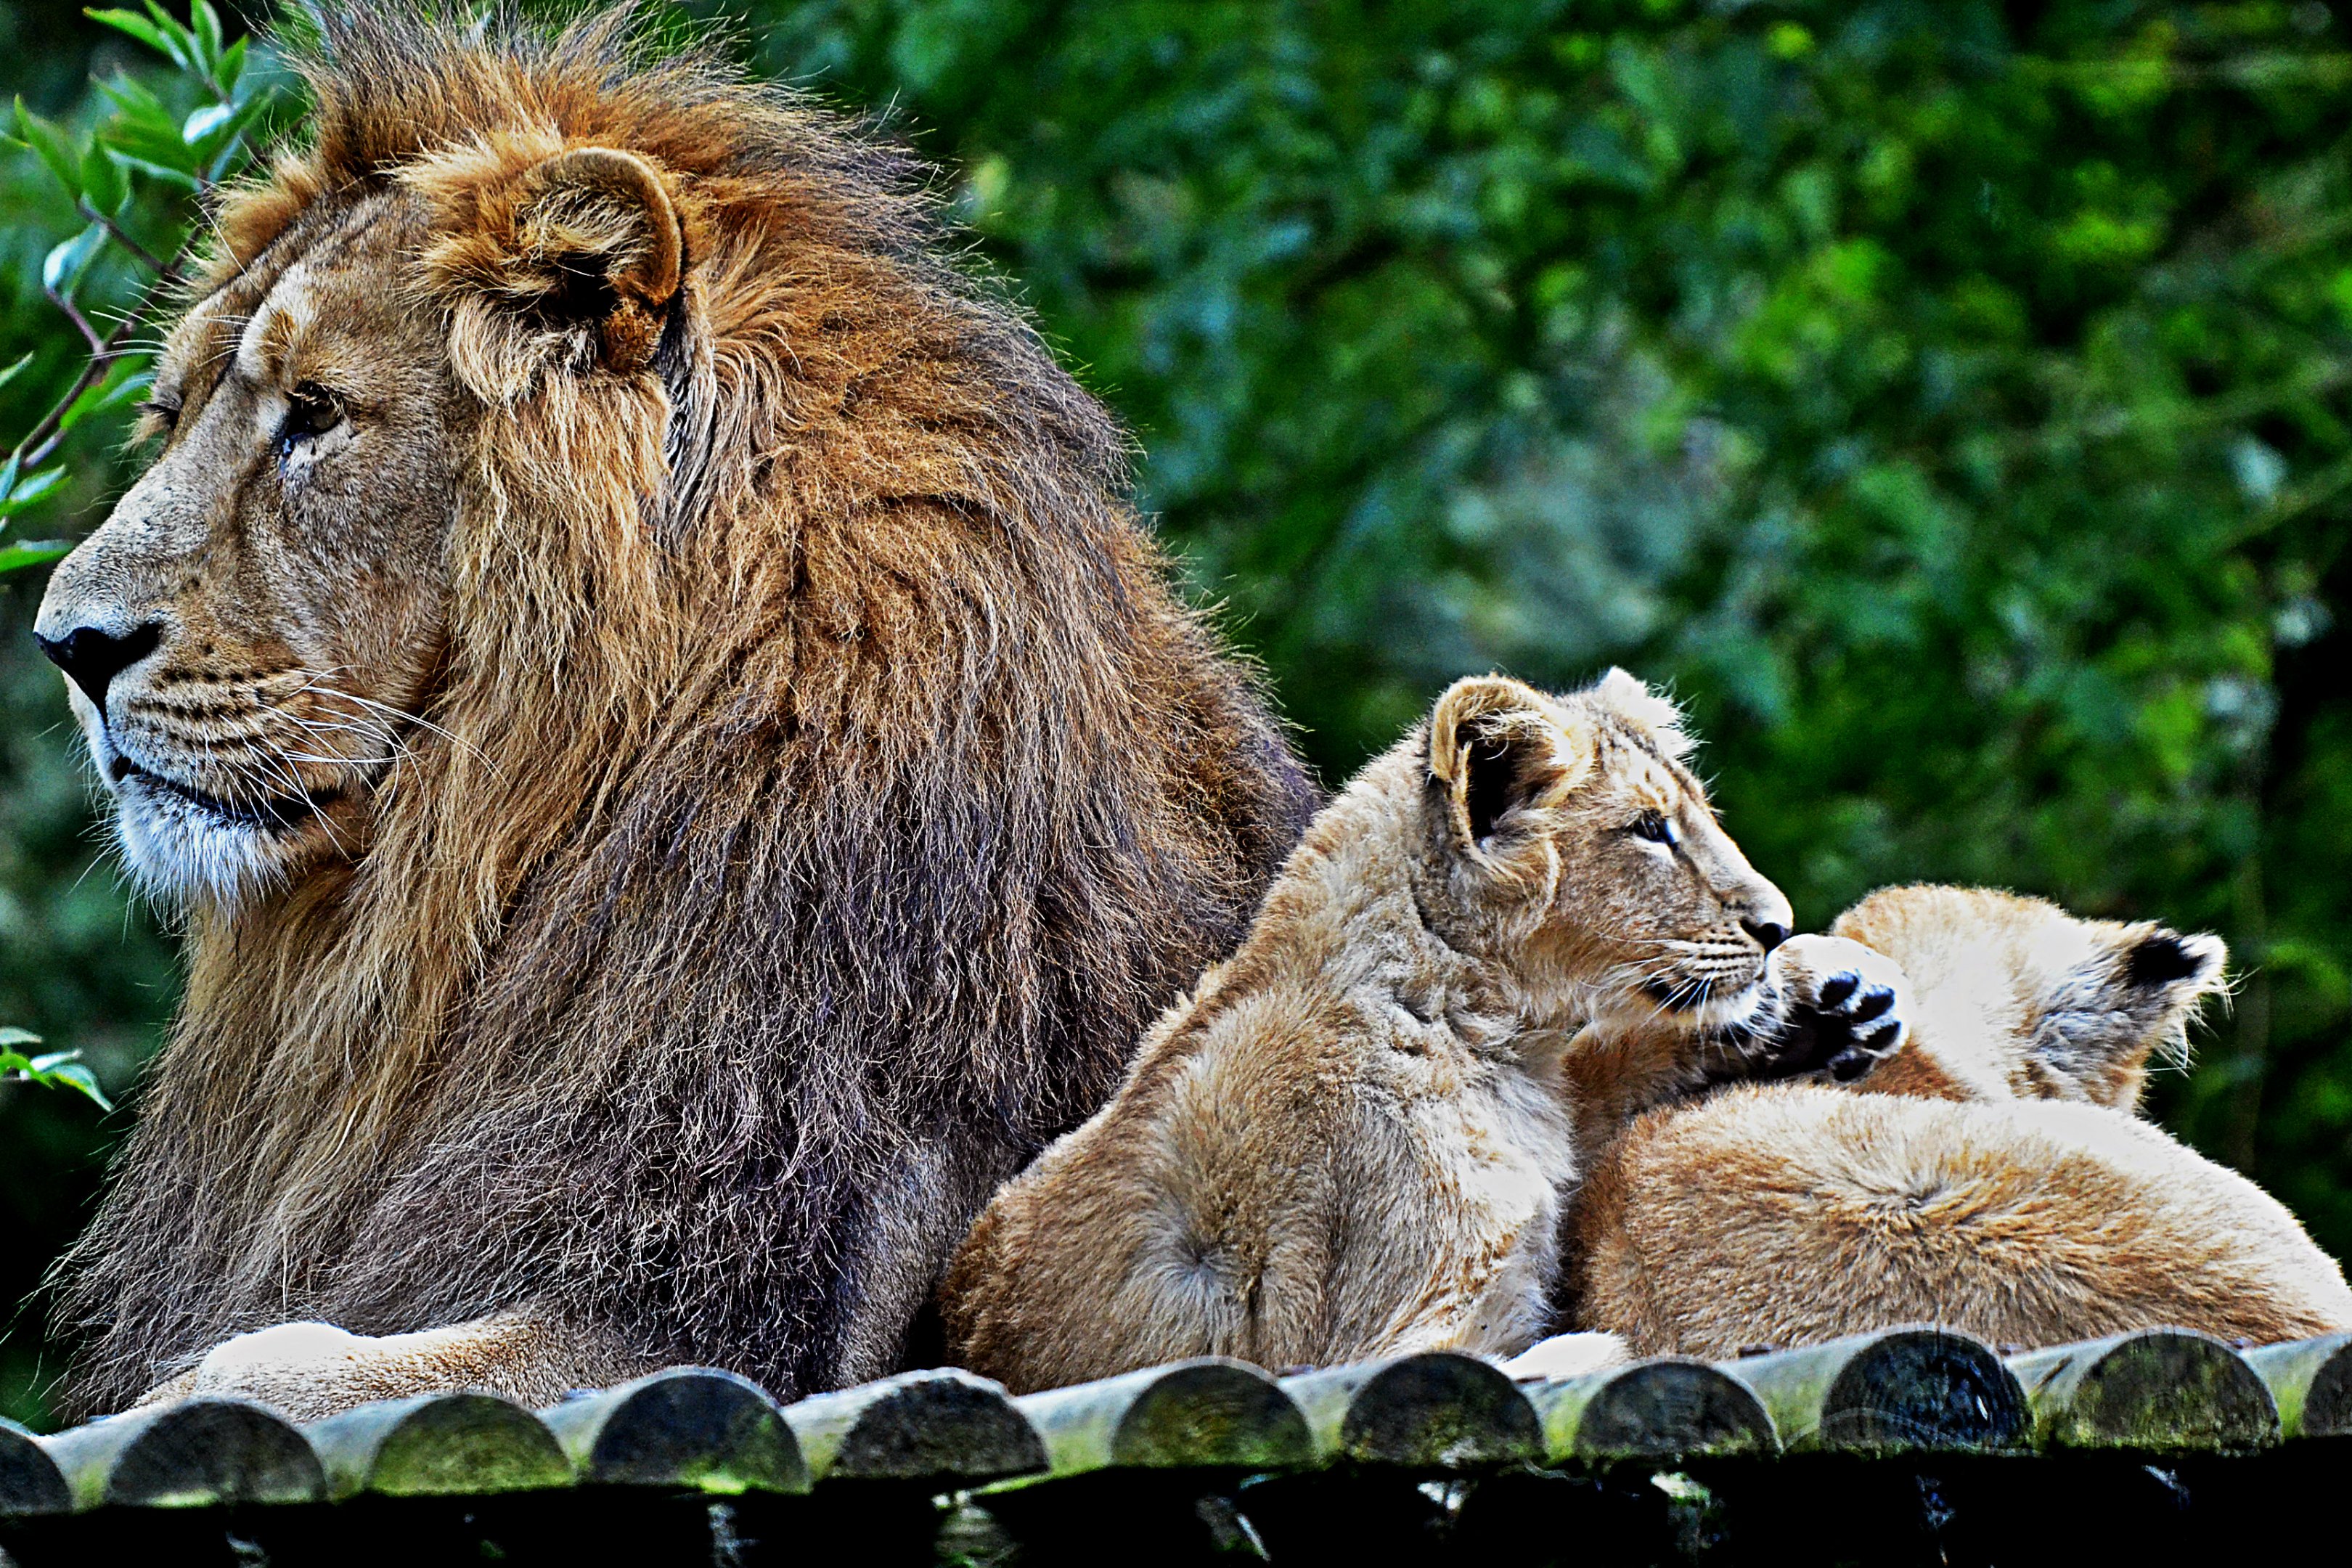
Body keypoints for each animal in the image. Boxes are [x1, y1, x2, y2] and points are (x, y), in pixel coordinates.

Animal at [940, 670, 1902, 1393]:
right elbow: (1539, 1360)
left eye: (1695, 816)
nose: (1776, 925)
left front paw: (1821, 999)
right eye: (1649, 830)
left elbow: (1608, 1069)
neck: (1493, 1045)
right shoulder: (1376, 1341)